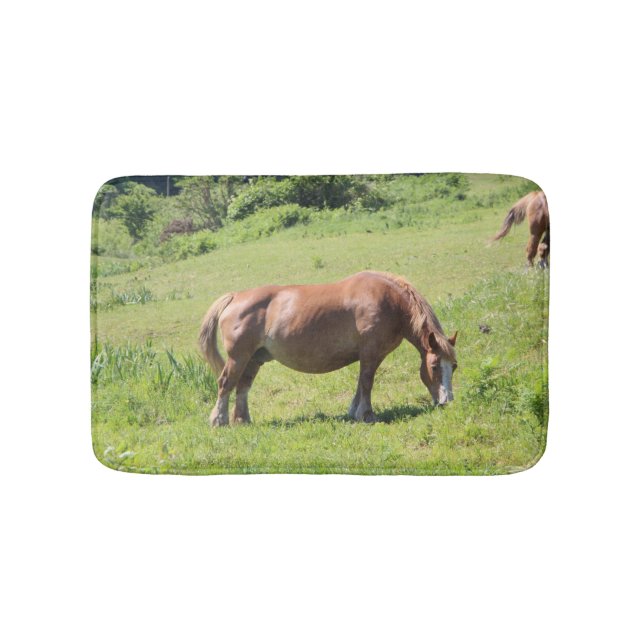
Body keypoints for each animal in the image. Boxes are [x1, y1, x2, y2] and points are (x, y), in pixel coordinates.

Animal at [199, 271, 458, 426]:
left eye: (454, 366)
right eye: (435, 366)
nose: (447, 402)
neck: (389, 302)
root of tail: (235, 297)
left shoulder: (368, 356)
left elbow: (360, 384)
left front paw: (354, 412)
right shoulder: (370, 353)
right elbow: (367, 383)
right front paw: (367, 415)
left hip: (254, 359)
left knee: (242, 387)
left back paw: (243, 420)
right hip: (238, 357)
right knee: (225, 384)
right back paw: (219, 421)